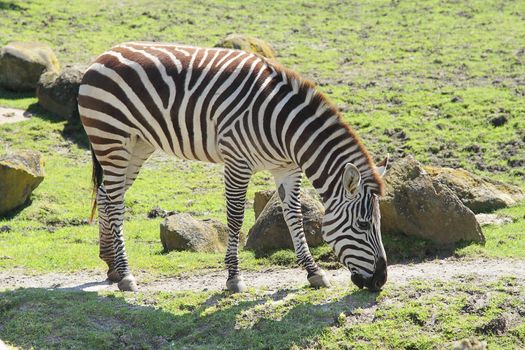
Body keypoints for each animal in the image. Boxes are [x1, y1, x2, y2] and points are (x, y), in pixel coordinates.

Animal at [79, 41, 388, 292]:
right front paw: (233, 278)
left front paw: (314, 272)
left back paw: (112, 268)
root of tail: (104, 54)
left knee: (106, 197)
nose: (380, 280)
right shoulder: (238, 162)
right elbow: (236, 218)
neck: (284, 128)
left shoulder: (287, 168)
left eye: (378, 222)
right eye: (363, 224)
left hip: (138, 145)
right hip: (111, 138)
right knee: (115, 204)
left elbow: (294, 217)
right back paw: (126, 275)